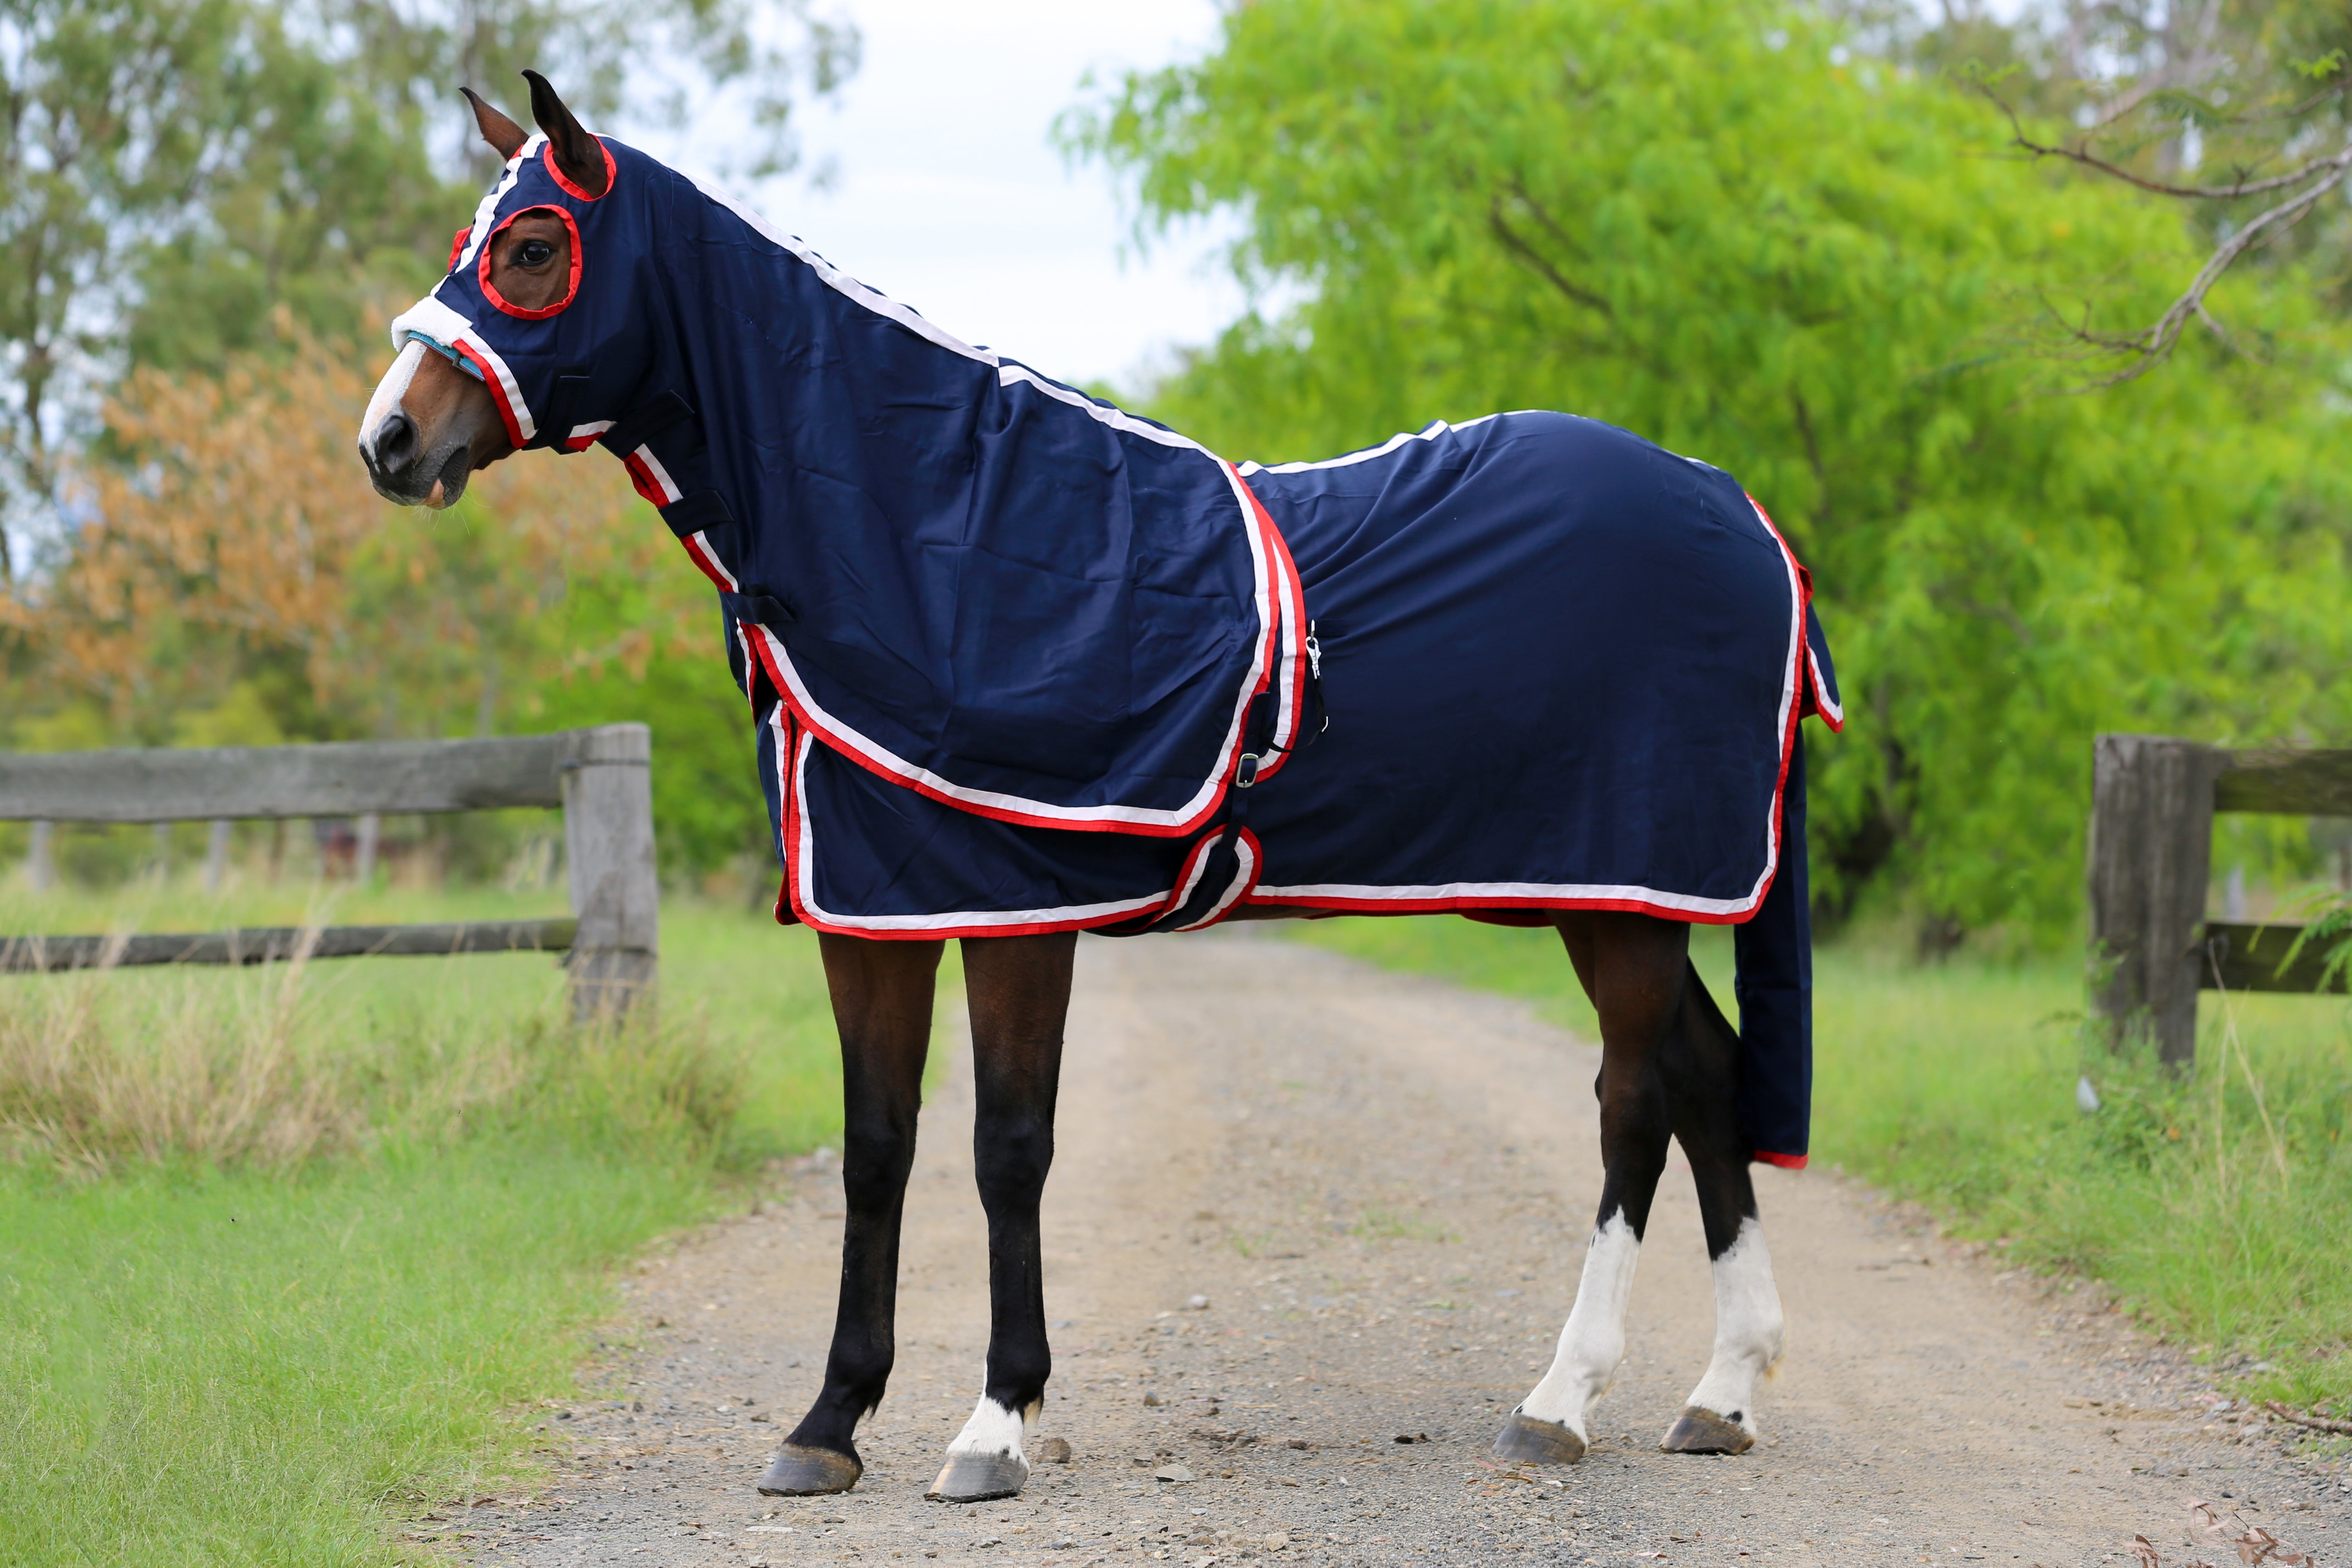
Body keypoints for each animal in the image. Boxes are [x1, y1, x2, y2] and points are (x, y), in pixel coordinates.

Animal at [357, 73, 1844, 1504]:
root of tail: (1747, 515)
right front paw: (828, 1424)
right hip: (1618, 892)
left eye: (534, 247)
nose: (389, 439)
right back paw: (1722, 1394)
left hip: (1626, 892)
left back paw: (1561, 1402)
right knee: (1709, 1075)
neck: (940, 533)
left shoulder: (1021, 913)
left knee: (1635, 1101)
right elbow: (877, 1147)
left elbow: (1006, 1149)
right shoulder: (873, 913)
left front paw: (995, 1426)